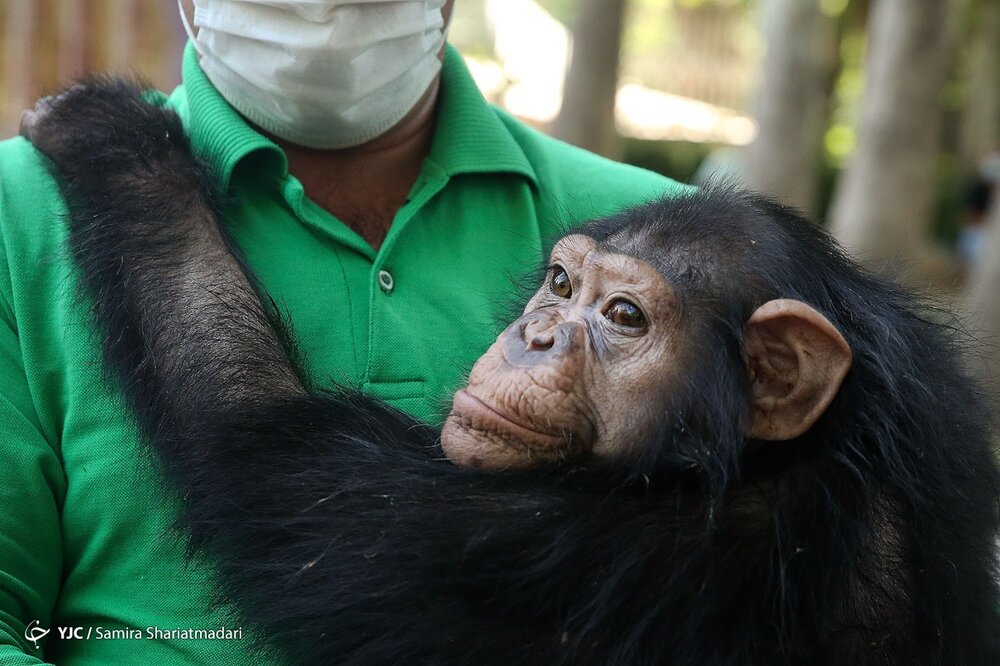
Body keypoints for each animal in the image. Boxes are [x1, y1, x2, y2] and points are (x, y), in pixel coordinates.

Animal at [19, 81, 1000, 664]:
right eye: (563, 284)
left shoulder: (573, 552)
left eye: (625, 318)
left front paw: (117, 142)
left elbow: (258, 452)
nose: (536, 335)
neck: (765, 457)